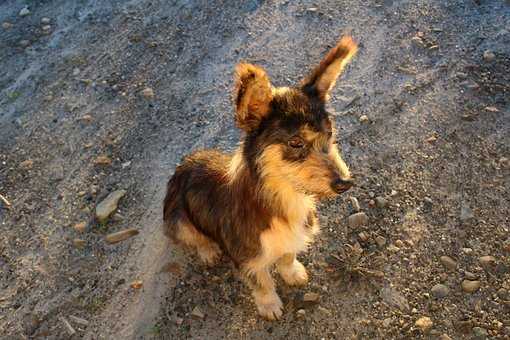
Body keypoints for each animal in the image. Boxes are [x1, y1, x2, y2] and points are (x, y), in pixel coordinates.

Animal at [163, 35, 358, 320]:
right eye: (295, 142)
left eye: (330, 133)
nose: (345, 183)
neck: (283, 197)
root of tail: (184, 163)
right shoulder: (248, 256)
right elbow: (261, 280)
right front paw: (269, 305)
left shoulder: (290, 239)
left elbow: (287, 256)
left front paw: (293, 273)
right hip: (177, 219)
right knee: (193, 236)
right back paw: (208, 250)